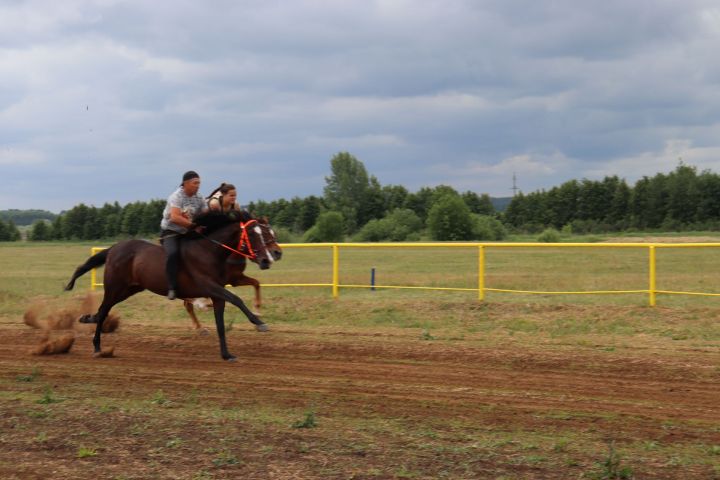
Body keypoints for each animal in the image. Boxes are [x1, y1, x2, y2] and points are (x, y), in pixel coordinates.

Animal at [64, 210, 272, 360]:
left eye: (267, 233)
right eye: (253, 234)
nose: (266, 260)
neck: (209, 251)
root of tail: (114, 248)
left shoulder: (217, 293)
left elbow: (220, 324)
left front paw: (226, 354)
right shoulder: (210, 286)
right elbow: (236, 299)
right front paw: (259, 323)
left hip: (129, 289)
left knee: (102, 311)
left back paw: (87, 319)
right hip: (114, 287)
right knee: (103, 312)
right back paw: (97, 346)